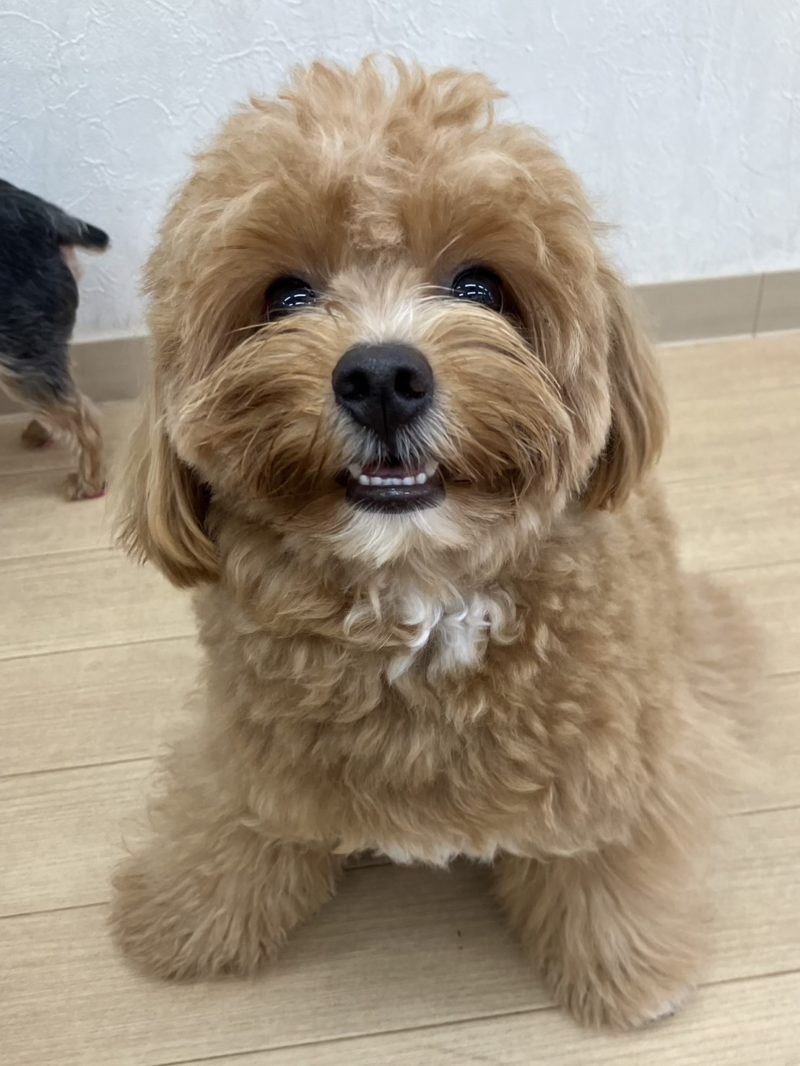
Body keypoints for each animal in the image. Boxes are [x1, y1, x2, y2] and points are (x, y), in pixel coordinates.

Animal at [112, 59, 755, 1029]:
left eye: (480, 286)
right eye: (286, 295)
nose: (381, 376)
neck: (418, 594)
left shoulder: (614, 765)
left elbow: (604, 865)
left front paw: (629, 973)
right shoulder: (247, 751)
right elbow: (228, 826)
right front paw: (184, 919)